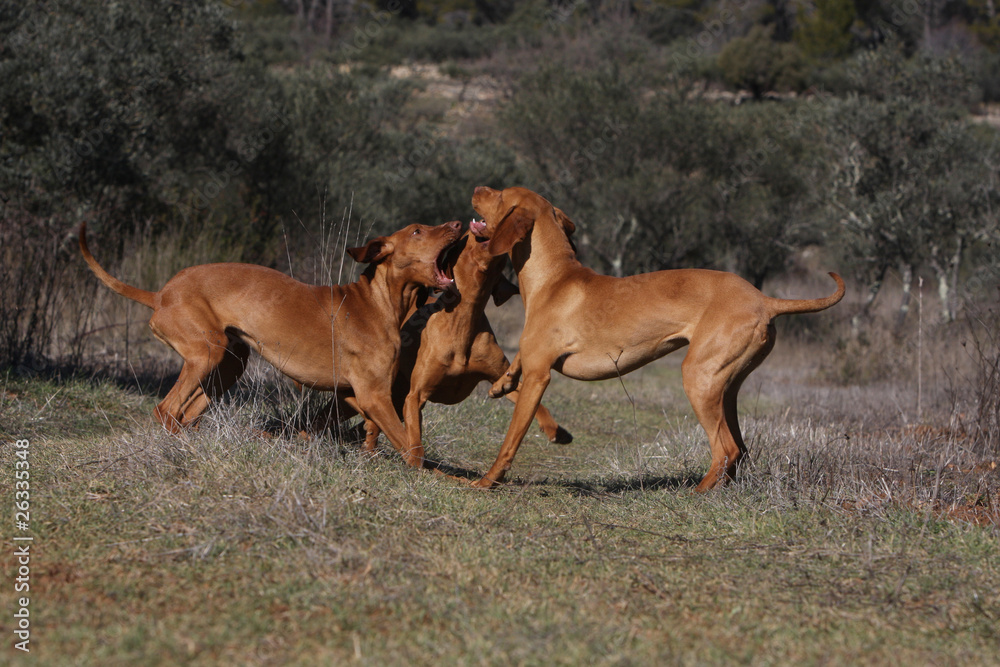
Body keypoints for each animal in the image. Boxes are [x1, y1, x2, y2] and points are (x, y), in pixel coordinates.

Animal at [80, 220, 462, 470]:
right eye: (417, 231)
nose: (458, 223)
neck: (377, 302)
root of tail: (160, 295)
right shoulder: (373, 395)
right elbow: (413, 450)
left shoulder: (353, 397)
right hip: (206, 353)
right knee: (166, 410)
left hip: (228, 365)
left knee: (187, 414)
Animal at [364, 232, 572, 456]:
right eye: (465, 239)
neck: (464, 322)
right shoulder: (416, 395)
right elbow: (414, 438)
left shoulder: (500, 378)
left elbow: (534, 402)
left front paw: (554, 429)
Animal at [468, 187, 844, 490]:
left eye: (499, 195)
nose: (477, 187)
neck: (554, 278)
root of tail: (765, 300)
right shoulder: (532, 359)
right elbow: (515, 361)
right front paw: (501, 383)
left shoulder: (538, 377)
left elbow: (510, 440)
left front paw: (487, 481)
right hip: (725, 387)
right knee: (739, 449)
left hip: (698, 378)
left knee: (726, 448)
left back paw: (697, 493)